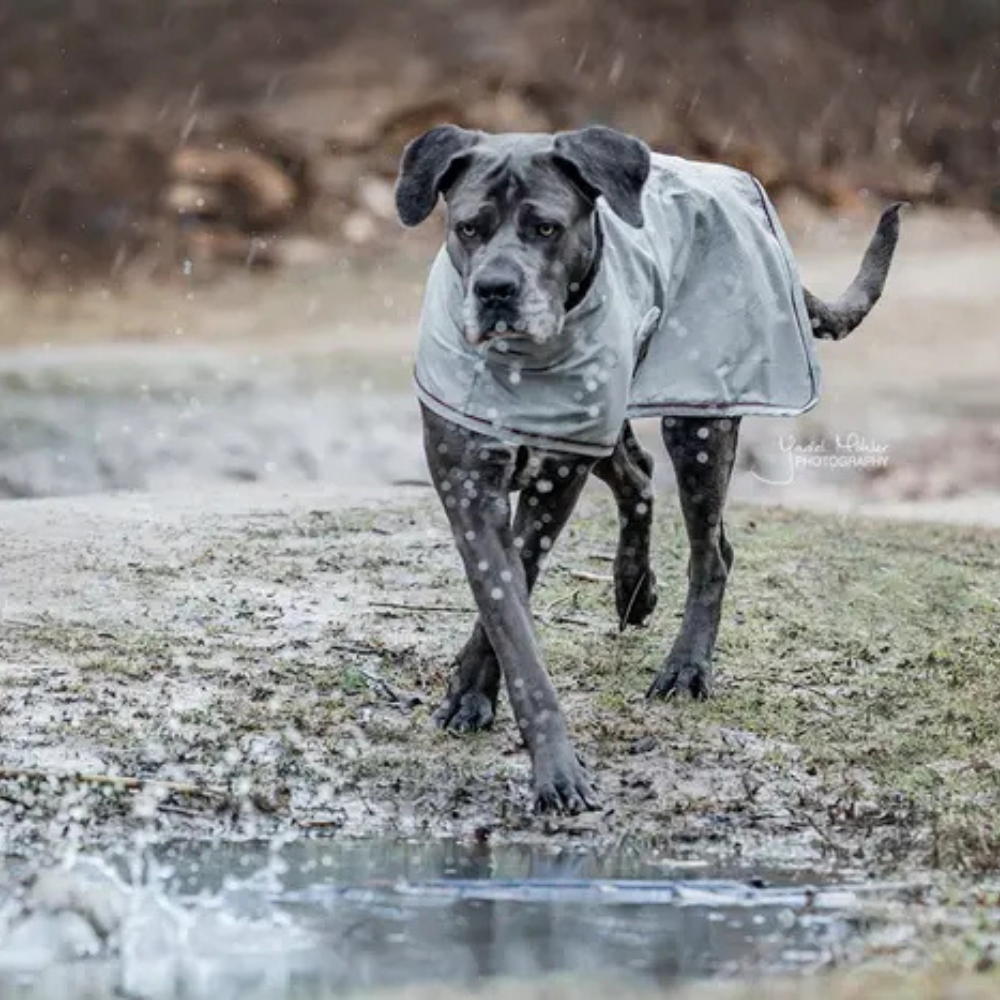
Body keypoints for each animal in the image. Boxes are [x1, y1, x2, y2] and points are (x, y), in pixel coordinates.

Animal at [394, 125, 904, 812]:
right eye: (469, 227)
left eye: (546, 228)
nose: (496, 290)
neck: (516, 366)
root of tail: (736, 183)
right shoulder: (470, 486)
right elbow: (507, 614)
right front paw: (479, 701)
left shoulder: (553, 480)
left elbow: (515, 609)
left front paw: (549, 765)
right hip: (612, 420)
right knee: (636, 474)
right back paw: (632, 586)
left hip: (699, 422)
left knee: (712, 552)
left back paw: (686, 666)